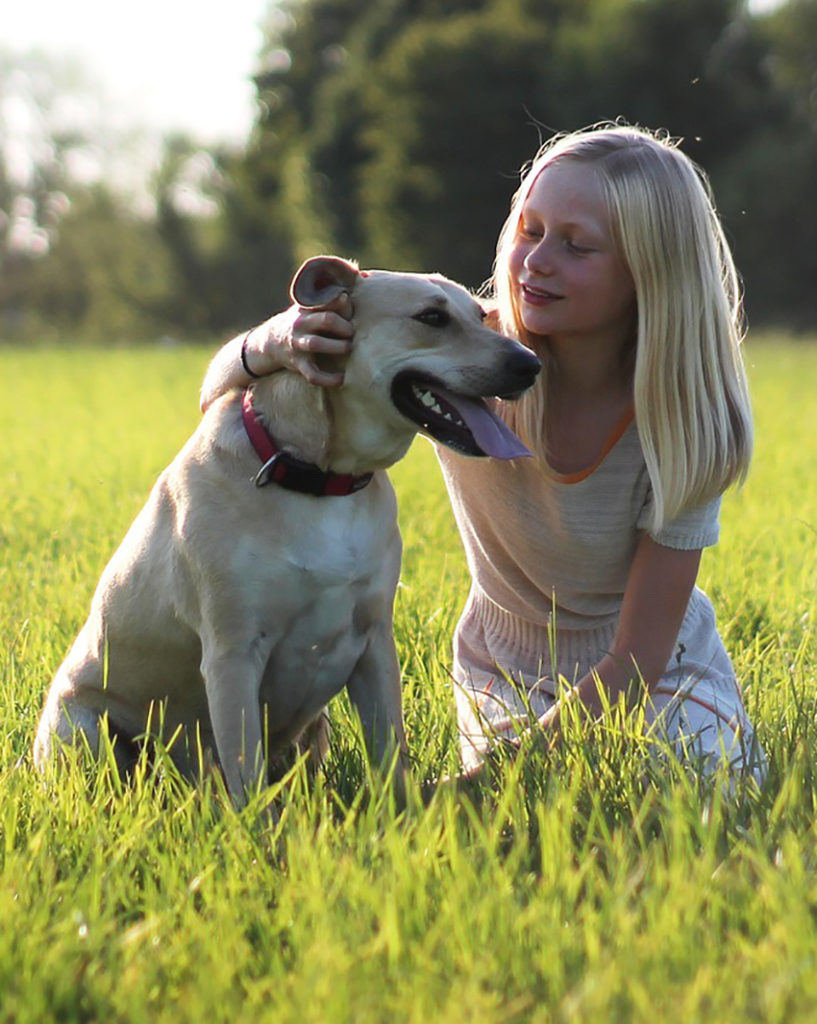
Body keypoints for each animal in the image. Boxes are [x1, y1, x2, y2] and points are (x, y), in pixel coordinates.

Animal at [33, 253, 544, 806]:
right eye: (431, 317)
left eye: (481, 315)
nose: (530, 364)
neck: (320, 479)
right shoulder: (232, 653)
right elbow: (247, 778)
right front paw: (259, 828)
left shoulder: (374, 642)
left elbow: (390, 753)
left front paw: (401, 815)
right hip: (82, 729)